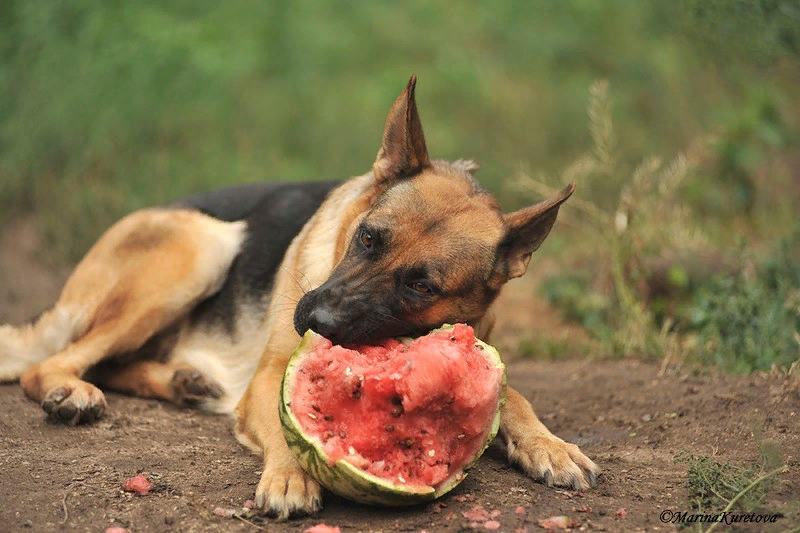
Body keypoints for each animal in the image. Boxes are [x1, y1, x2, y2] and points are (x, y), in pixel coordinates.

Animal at [0, 77, 596, 516]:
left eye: (421, 285)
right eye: (368, 238)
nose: (316, 319)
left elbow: (514, 398)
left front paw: (549, 445)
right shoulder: (270, 376)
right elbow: (287, 431)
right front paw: (289, 476)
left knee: (111, 361)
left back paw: (182, 381)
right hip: (203, 249)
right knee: (49, 364)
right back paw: (76, 392)